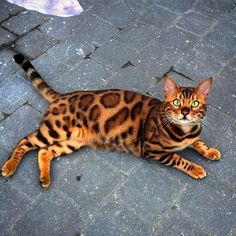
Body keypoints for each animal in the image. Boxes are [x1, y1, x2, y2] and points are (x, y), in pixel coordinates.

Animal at [0, 53, 220, 188]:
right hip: (55, 129)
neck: (185, 130)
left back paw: (44, 177)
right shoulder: (153, 150)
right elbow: (180, 159)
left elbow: (198, 142)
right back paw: (9, 166)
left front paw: (210, 151)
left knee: (45, 151)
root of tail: (62, 96)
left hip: (73, 141)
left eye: (194, 103)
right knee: (25, 141)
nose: (185, 112)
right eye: (176, 102)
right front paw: (196, 168)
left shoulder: (192, 134)